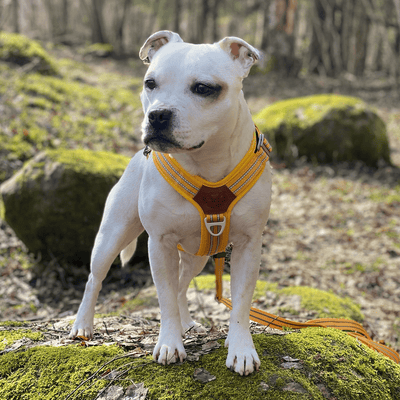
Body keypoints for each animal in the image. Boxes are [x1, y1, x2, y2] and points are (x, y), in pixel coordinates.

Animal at [70, 30, 274, 376]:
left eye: (203, 88)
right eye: (150, 83)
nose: (157, 115)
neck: (206, 163)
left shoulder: (249, 245)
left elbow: (240, 303)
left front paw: (241, 348)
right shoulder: (160, 243)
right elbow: (164, 298)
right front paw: (169, 343)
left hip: (197, 256)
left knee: (181, 286)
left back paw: (187, 323)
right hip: (112, 236)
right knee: (95, 279)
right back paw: (83, 325)